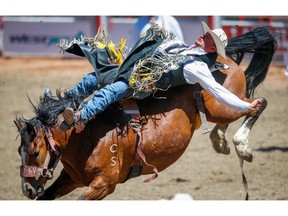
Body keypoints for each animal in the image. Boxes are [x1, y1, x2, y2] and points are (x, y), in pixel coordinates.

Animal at [14, 26, 276, 200]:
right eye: (20, 151)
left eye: (35, 152)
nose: (27, 189)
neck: (84, 138)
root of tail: (224, 57)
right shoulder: (71, 179)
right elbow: (45, 197)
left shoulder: (103, 185)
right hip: (218, 110)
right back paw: (220, 141)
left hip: (223, 106)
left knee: (257, 104)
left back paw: (241, 145)